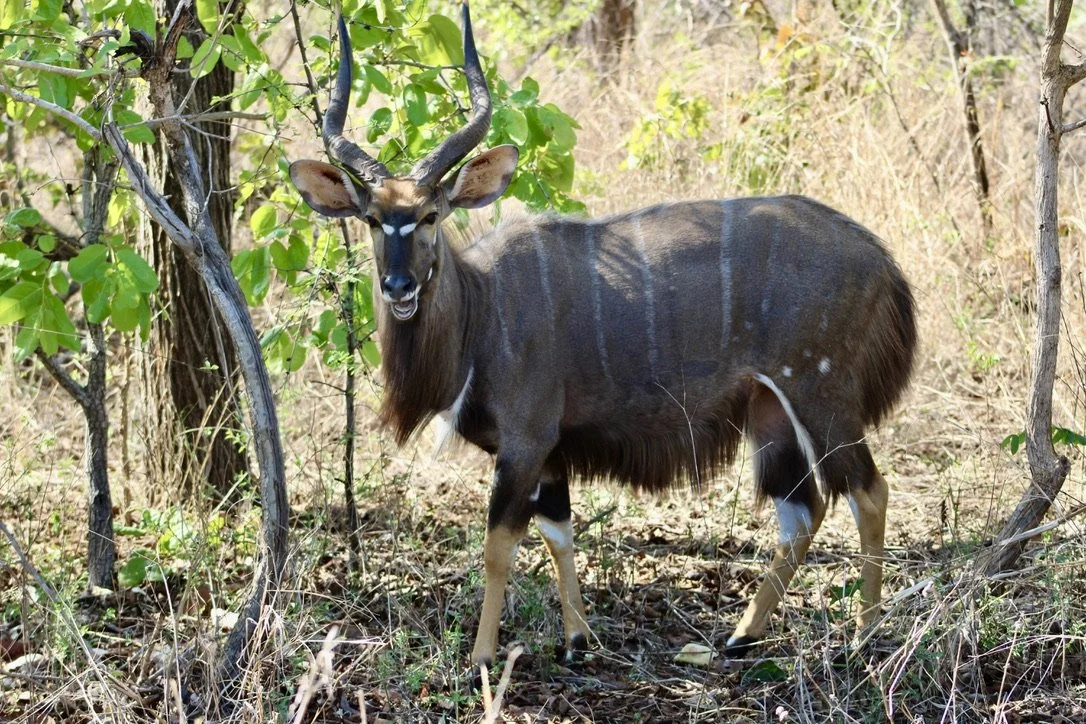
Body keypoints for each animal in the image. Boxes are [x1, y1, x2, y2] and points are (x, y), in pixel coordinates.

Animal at [289, 3, 917, 668]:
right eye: (372, 219)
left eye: (431, 215)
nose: (398, 285)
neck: (483, 311)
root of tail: (881, 259)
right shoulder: (549, 456)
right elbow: (558, 533)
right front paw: (577, 641)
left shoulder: (526, 441)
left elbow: (498, 546)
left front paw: (484, 657)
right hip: (770, 409)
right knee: (804, 509)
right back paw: (740, 636)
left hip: (822, 394)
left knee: (868, 492)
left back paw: (863, 638)